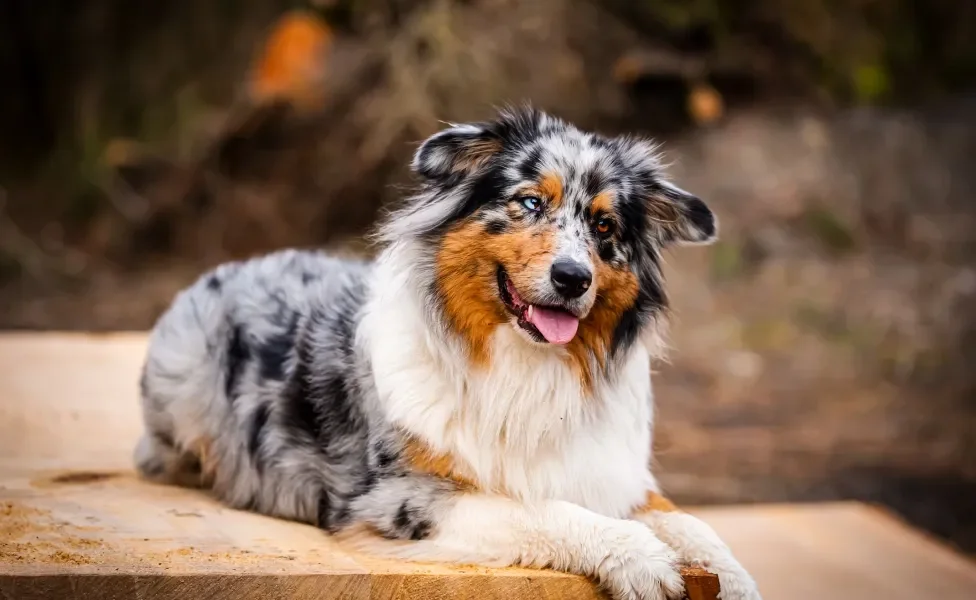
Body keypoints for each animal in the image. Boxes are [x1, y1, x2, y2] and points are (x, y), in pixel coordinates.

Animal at [137, 108, 764, 600]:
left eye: (605, 225)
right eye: (530, 202)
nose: (573, 278)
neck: (524, 366)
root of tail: (233, 266)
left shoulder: (612, 473)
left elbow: (690, 523)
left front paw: (731, 577)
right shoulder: (401, 500)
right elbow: (540, 509)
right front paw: (638, 555)